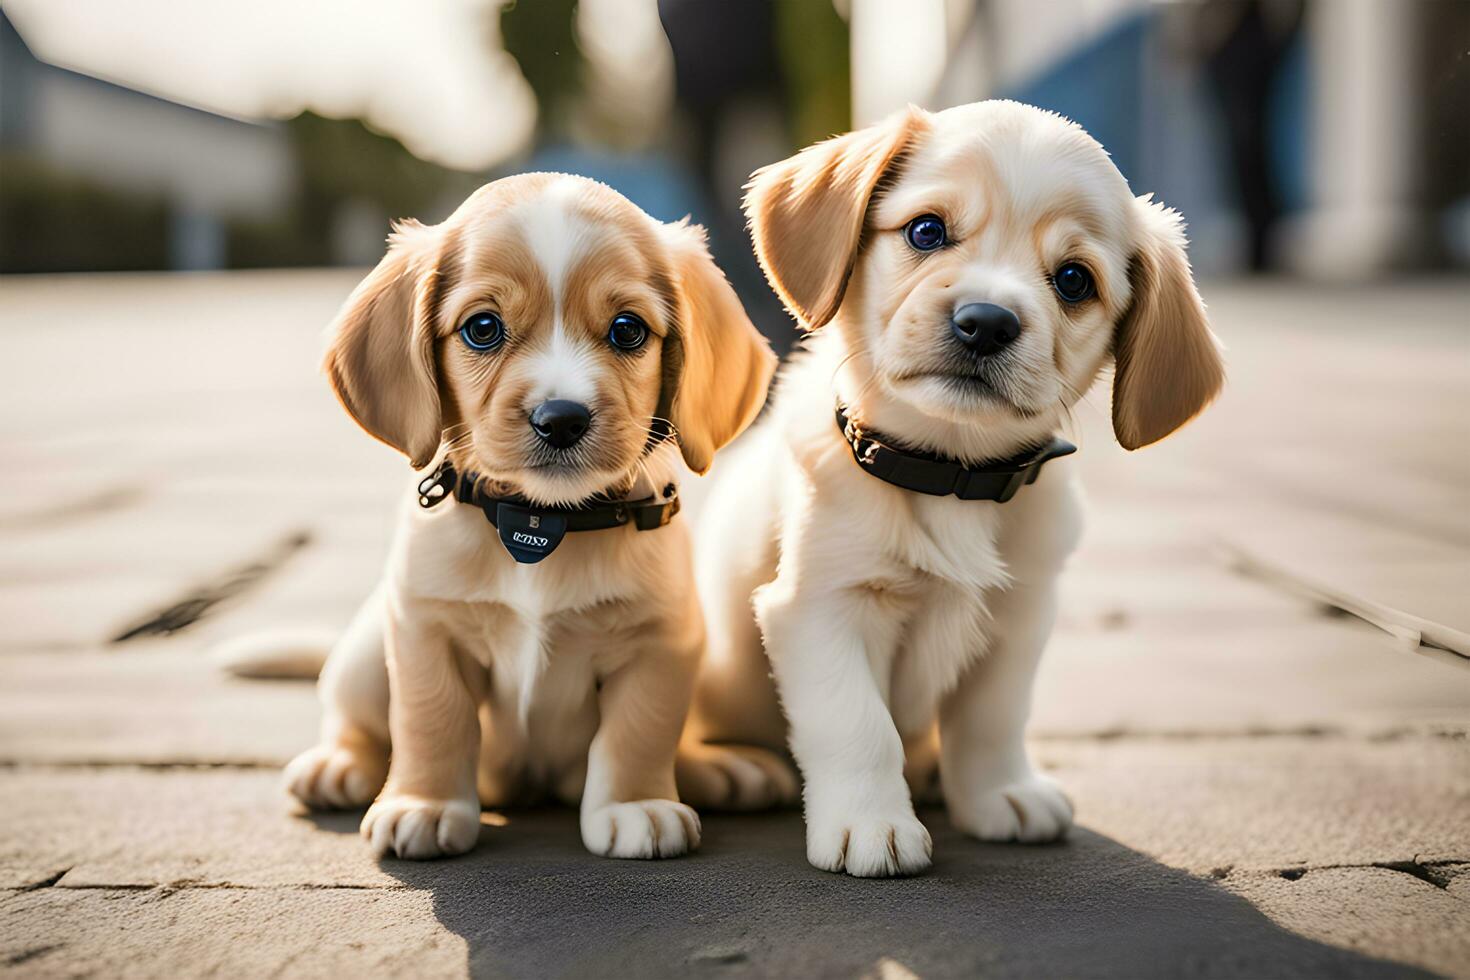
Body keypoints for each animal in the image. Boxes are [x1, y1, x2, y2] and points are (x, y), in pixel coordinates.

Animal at [267, 174, 770, 858]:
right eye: (483, 327)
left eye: (628, 331)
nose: (561, 419)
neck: (543, 521)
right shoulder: (428, 632)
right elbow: (431, 720)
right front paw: (424, 804)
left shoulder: (661, 641)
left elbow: (639, 729)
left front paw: (638, 804)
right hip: (367, 654)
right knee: (357, 720)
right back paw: (338, 765)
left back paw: (717, 770)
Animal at [682, 101, 1223, 881]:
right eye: (926, 231)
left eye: (1073, 280)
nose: (987, 323)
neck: (951, 476)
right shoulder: (820, 608)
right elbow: (858, 725)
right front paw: (871, 823)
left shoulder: (1019, 618)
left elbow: (992, 719)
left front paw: (999, 794)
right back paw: (729, 768)